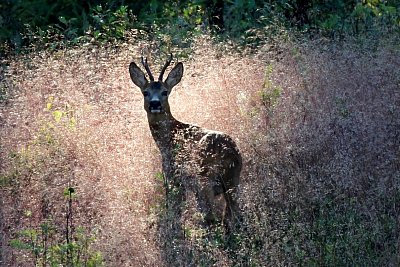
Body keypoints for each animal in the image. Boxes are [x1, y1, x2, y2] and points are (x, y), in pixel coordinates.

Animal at [129, 54, 241, 228]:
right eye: (145, 92)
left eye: (165, 92)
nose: (155, 104)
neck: (168, 139)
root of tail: (230, 153)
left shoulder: (173, 175)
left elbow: (174, 207)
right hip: (233, 182)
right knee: (232, 216)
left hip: (204, 180)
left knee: (212, 217)